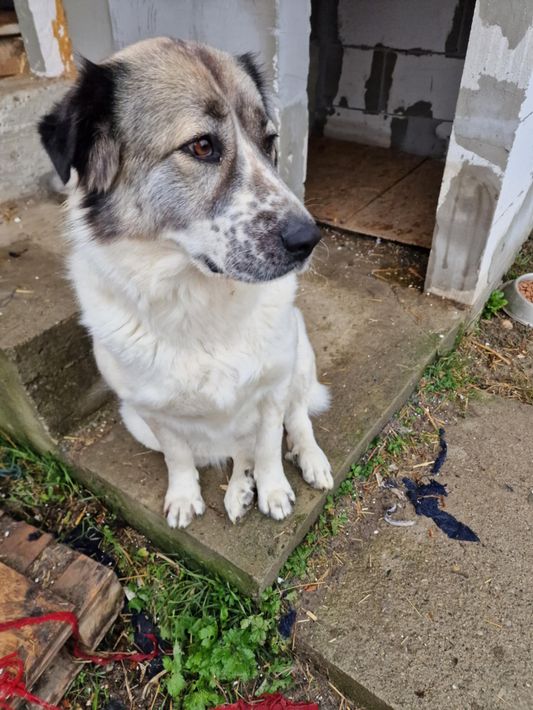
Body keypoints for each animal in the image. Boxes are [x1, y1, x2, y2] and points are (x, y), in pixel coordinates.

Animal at [39, 37, 333, 529]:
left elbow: (270, 444)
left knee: (296, 421)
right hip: (136, 421)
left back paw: (308, 460)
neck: (198, 300)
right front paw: (183, 496)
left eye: (269, 142)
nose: (308, 239)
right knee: (235, 450)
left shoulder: (273, 388)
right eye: (201, 146)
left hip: (300, 358)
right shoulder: (153, 413)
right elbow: (179, 457)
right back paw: (238, 490)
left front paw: (274, 490)